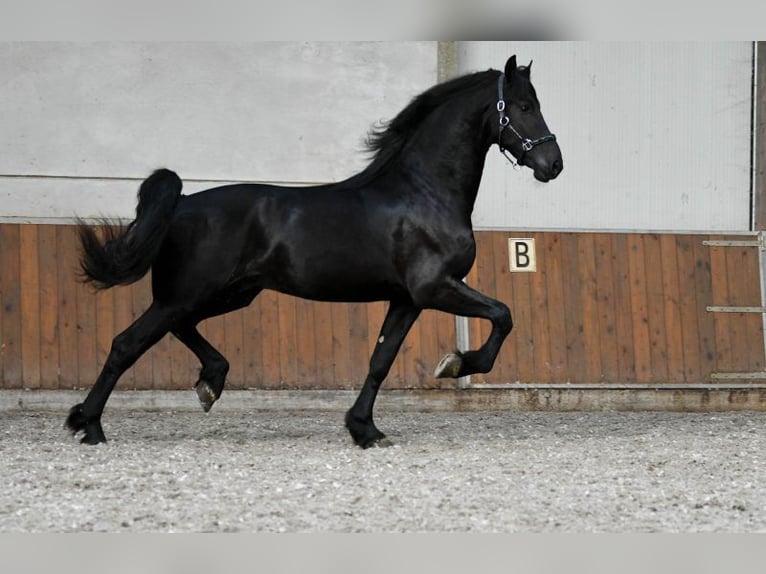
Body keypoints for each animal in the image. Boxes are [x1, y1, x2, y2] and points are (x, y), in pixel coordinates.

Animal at [66, 55, 562, 448]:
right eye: (524, 107)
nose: (553, 164)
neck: (424, 192)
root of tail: (183, 204)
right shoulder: (435, 287)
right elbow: (503, 314)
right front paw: (456, 363)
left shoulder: (406, 299)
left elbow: (380, 361)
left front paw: (365, 430)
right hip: (188, 294)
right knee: (127, 343)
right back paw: (88, 425)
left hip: (228, 294)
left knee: (178, 328)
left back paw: (210, 383)